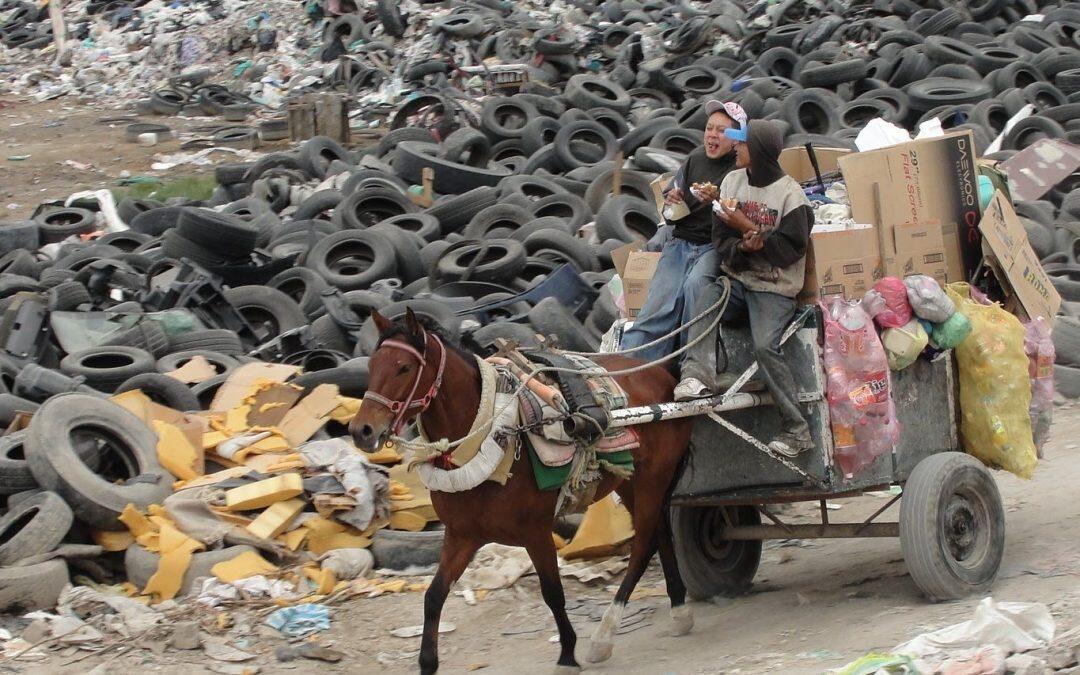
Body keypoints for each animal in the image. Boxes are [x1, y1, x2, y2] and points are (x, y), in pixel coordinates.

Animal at [349, 308, 695, 669]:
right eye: (371, 367)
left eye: (403, 367)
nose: (361, 430)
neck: (487, 436)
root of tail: (662, 373)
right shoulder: (462, 535)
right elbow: (434, 595)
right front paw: (428, 662)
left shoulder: (536, 532)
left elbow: (553, 593)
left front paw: (567, 654)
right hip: (632, 481)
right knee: (658, 535)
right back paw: (679, 610)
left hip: (654, 477)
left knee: (642, 547)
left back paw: (604, 635)